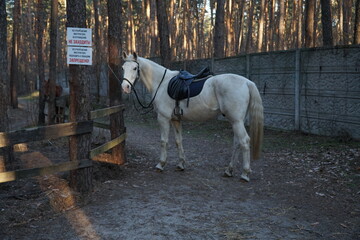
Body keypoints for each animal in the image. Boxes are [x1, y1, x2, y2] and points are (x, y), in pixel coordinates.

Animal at [122, 52, 262, 180]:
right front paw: (181, 164)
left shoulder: (163, 118)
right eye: (123, 67)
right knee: (237, 143)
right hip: (236, 121)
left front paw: (161, 164)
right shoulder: (175, 120)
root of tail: (247, 82)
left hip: (236, 121)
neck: (162, 83)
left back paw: (245, 173)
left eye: (134, 68)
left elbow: (163, 141)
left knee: (244, 141)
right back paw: (229, 170)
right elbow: (178, 141)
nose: (125, 87)